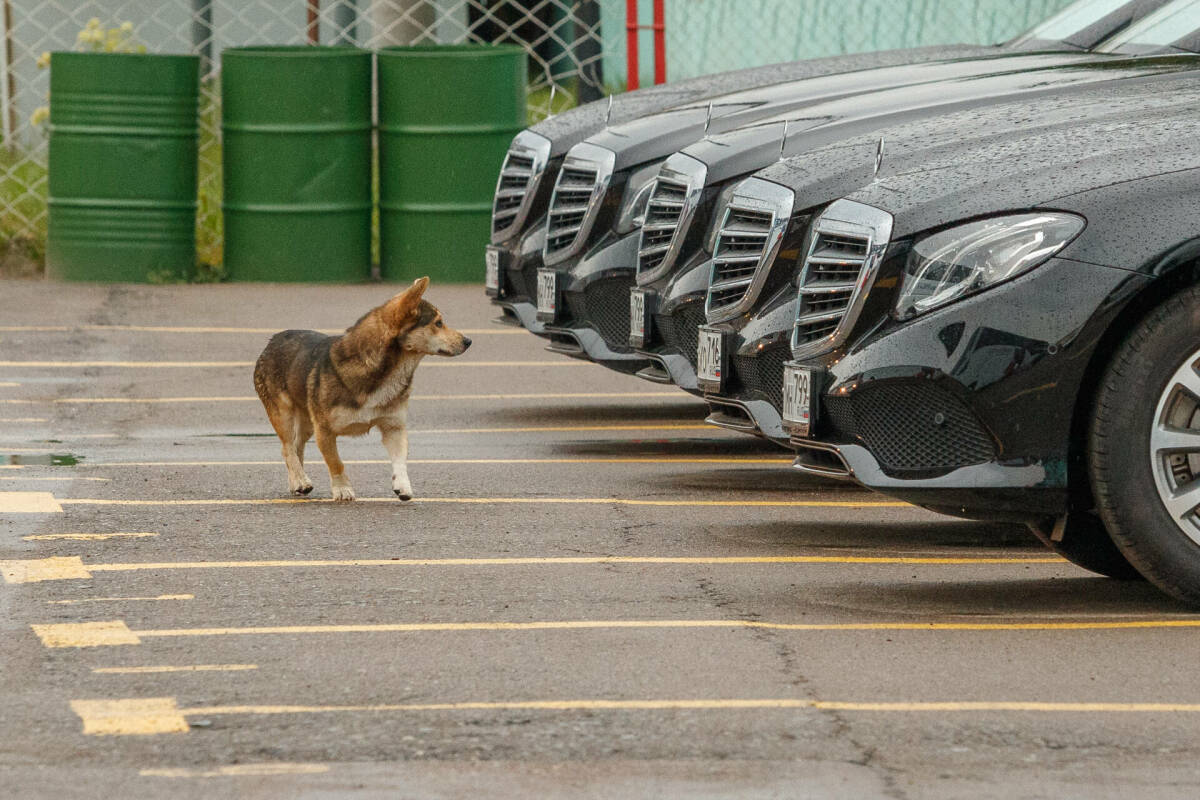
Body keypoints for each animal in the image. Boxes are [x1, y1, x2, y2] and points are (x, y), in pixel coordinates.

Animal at [252, 277, 468, 501]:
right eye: (438, 323)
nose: (468, 341)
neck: (381, 371)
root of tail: (272, 340)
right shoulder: (324, 430)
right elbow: (336, 463)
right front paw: (342, 489)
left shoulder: (393, 426)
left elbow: (400, 460)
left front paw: (402, 486)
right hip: (283, 414)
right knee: (287, 448)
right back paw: (301, 480)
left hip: (307, 421)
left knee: (296, 447)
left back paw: (297, 482)